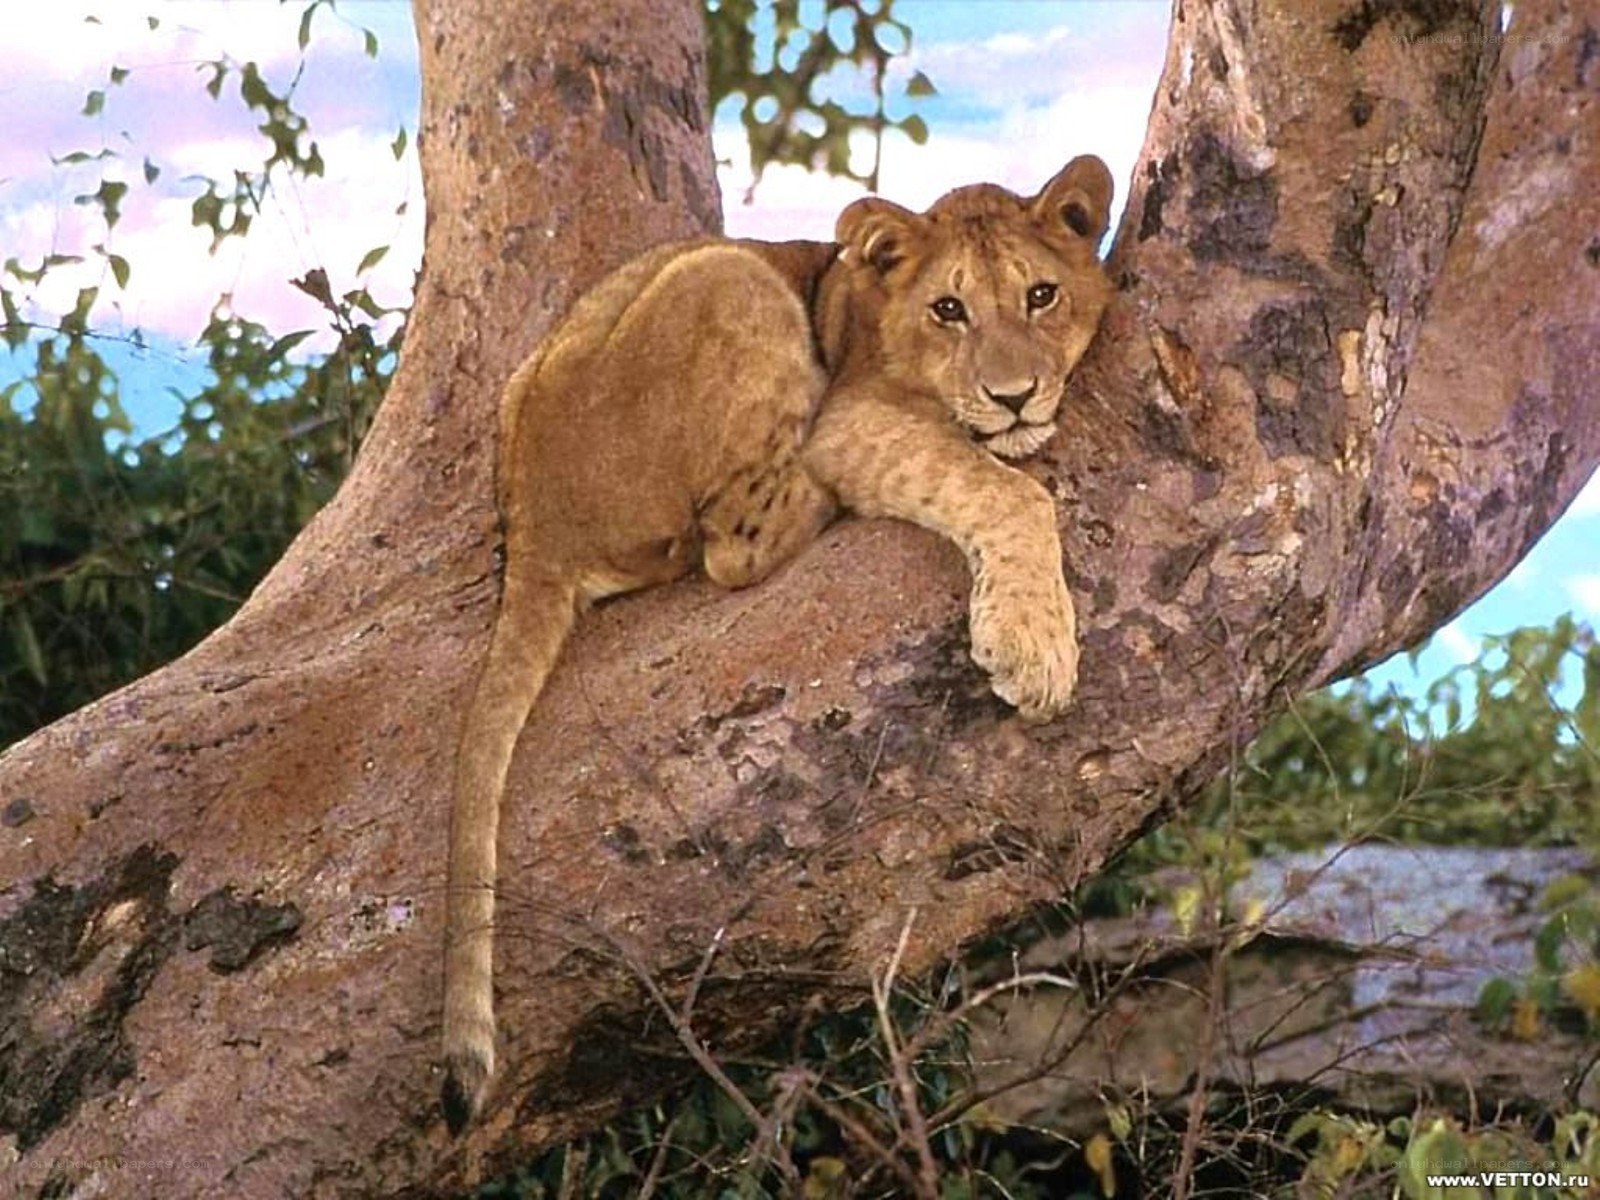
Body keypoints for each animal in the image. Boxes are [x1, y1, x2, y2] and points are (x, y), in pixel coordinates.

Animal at [441, 155, 1115, 1131]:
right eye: (948, 309)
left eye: (1042, 294)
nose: (1013, 396)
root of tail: (535, 515)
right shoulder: (855, 417)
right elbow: (1004, 488)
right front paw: (1033, 649)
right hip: (730, 279)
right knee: (732, 545)